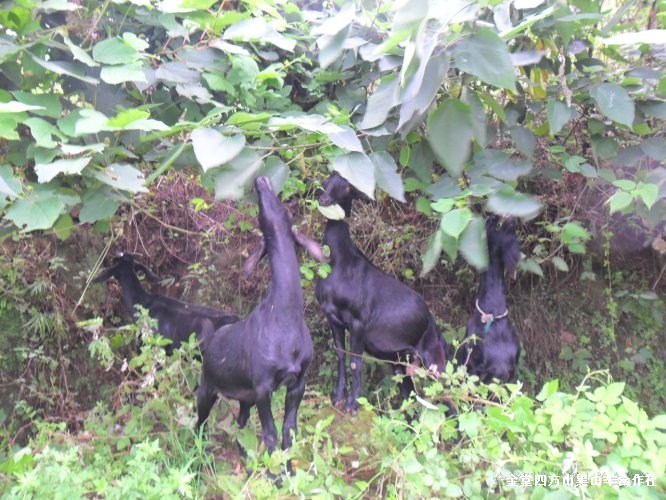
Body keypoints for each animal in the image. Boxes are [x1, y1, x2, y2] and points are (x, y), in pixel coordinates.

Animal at [195, 176, 324, 458]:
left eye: (284, 210)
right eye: (261, 218)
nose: (261, 180)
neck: (285, 319)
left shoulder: (297, 382)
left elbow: (289, 432)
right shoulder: (263, 386)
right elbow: (270, 435)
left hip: (246, 398)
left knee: (241, 425)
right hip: (207, 389)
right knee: (198, 423)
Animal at [314, 172, 448, 414]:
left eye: (347, 188)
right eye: (327, 181)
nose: (325, 200)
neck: (340, 263)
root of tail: (433, 325)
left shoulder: (358, 322)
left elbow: (356, 361)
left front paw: (353, 404)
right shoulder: (333, 319)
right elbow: (341, 355)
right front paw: (338, 397)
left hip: (434, 359)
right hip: (401, 362)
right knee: (409, 395)